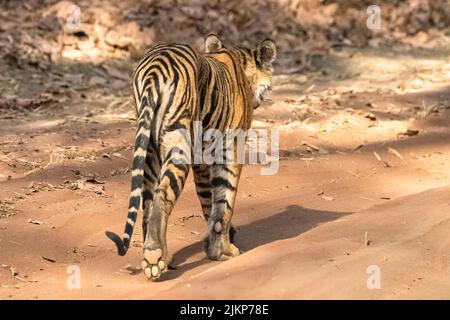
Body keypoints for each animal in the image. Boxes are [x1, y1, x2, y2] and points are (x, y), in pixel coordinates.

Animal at [108, 35, 278, 280]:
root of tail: (154, 68)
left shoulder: (201, 159)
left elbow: (208, 199)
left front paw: (215, 245)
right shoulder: (230, 149)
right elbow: (224, 201)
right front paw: (224, 250)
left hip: (149, 147)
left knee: (147, 202)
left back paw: (160, 256)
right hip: (177, 145)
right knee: (161, 196)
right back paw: (153, 258)